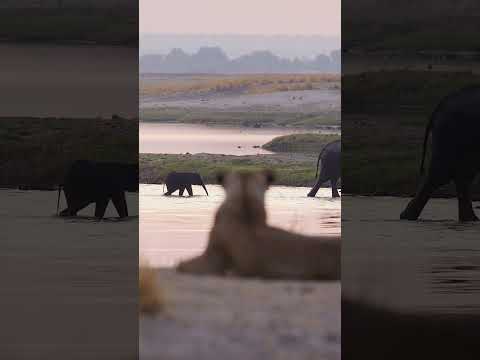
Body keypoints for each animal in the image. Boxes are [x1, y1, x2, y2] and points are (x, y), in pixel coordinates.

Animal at [400, 86, 478, 222]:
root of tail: (440, 105)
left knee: (463, 175)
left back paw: (471, 219)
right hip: (452, 132)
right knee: (442, 174)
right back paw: (406, 217)